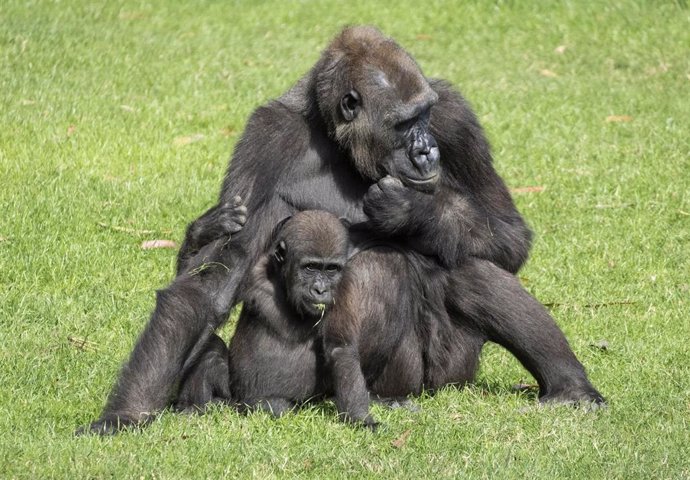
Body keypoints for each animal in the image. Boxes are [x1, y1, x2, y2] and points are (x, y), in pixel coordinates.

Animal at [79, 25, 596, 436]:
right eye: (403, 124)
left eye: (425, 116)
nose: (426, 151)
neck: (336, 137)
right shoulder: (266, 138)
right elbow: (211, 283)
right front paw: (123, 416)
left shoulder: (455, 116)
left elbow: (510, 235)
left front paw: (412, 211)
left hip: (446, 377)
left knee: (467, 266)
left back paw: (568, 386)